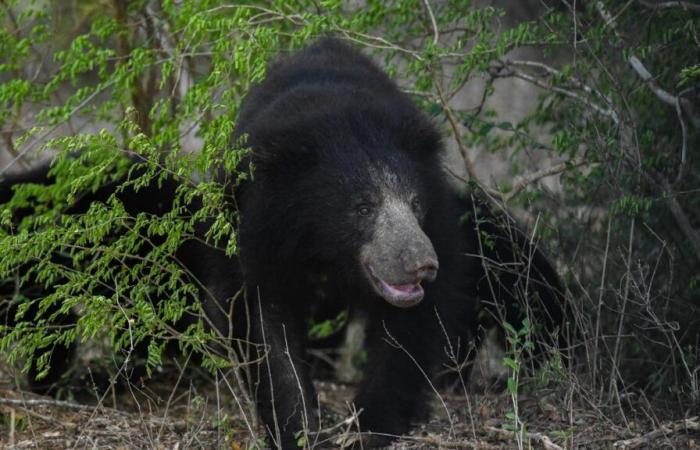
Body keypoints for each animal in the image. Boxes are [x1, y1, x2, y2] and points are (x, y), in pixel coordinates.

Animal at [0, 38, 564, 446]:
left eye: (414, 203)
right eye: (361, 208)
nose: (420, 265)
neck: (324, 246)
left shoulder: (440, 226)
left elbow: (412, 332)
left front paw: (370, 425)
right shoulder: (257, 232)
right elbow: (262, 325)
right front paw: (299, 427)